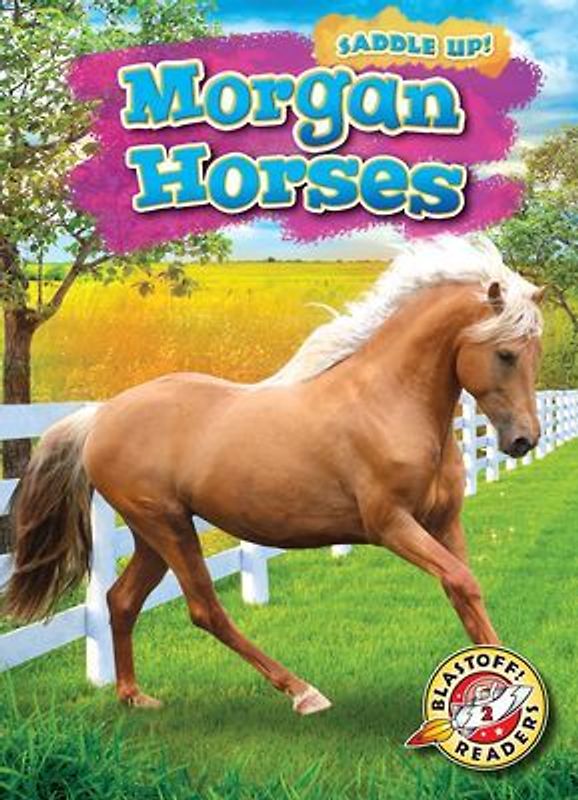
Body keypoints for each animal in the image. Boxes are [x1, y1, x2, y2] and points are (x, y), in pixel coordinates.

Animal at [4, 236, 544, 716]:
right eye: (505, 353)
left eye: (534, 352)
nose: (524, 440)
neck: (388, 403)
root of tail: (100, 415)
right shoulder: (392, 525)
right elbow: (462, 581)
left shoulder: (443, 522)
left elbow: (464, 590)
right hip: (168, 526)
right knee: (205, 610)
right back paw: (303, 693)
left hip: (150, 534)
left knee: (120, 601)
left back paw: (134, 697)